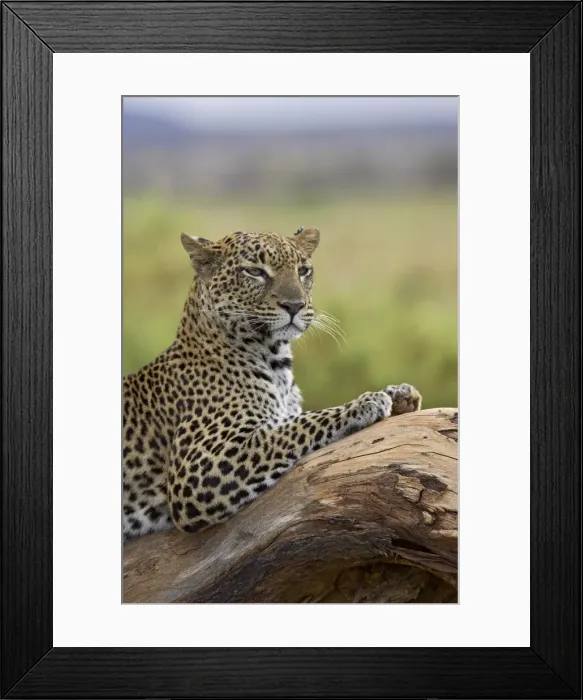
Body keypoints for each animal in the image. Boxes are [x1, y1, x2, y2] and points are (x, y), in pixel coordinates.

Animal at [123, 226, 422, 540]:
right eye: (255, 271)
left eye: (303, 271)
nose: (295, 306)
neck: (276, 361)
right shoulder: (199, 467)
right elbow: (294, 427)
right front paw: (366, 402)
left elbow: (292, 421)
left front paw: (400, 394)